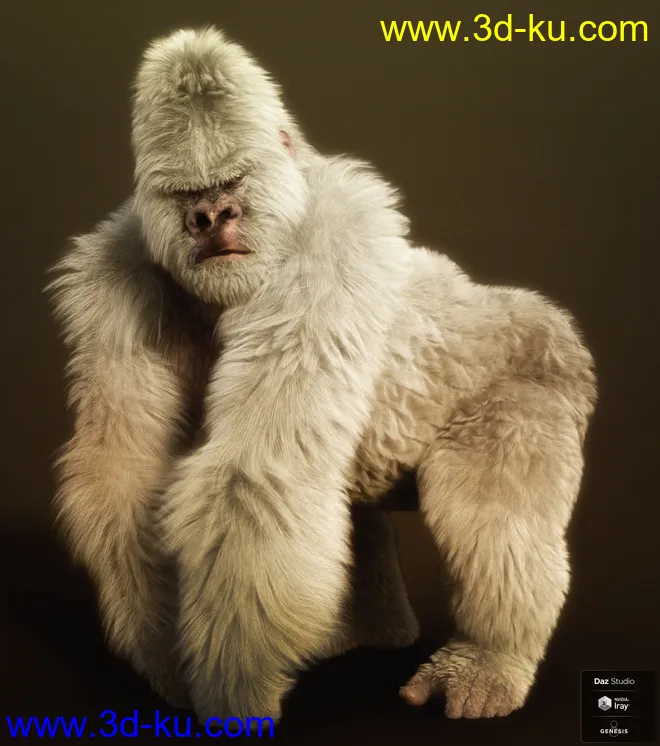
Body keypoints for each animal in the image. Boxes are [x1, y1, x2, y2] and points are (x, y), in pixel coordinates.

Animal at [47, 26, 597, 726]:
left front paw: (235, 687)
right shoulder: (108, 288)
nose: (213, 217)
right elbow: (122, 474)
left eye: (233, 180)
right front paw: (166, 663)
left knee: (490, 506)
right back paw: (374, 628)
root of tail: (548, 321)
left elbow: (260, 470)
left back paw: (488, 659)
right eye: (185, 194)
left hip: (544, 376)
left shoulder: (330, 248)